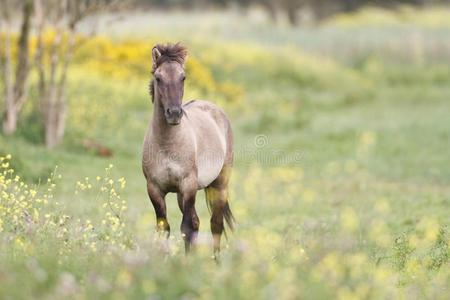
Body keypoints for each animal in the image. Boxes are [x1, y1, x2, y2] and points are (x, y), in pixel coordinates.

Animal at [143, 42, 236, 253]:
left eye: (183, 77)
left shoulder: (188, 185)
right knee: (197, 221)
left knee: (215, 224)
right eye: (158, 78)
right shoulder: (154, 189)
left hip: (219, 185)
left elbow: (186, 227)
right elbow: (164, 228)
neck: (167, 145)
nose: (174, 113)